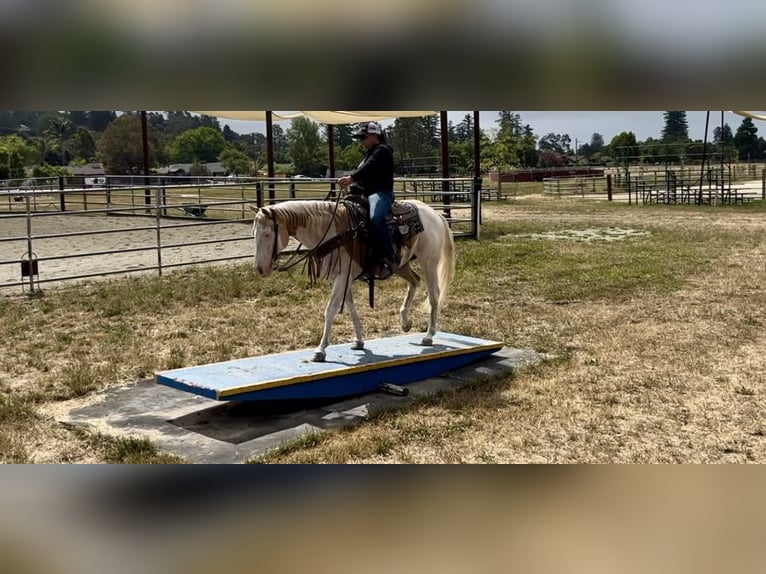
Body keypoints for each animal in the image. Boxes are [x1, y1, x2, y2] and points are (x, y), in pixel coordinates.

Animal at [251, 198, 455, 362]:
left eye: (267, 234)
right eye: (254, 233)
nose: (260, 269)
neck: (334, 232)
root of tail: (434, 214)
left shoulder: (342, 277)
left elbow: (331, 309)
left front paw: (320, 350)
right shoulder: (343, 277)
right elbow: (349, 305)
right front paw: (359, 340)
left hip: (429, 261)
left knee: (434, 295)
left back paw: (429, 335)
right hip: (400, 264)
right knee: (414, 281)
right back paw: (405, 322)